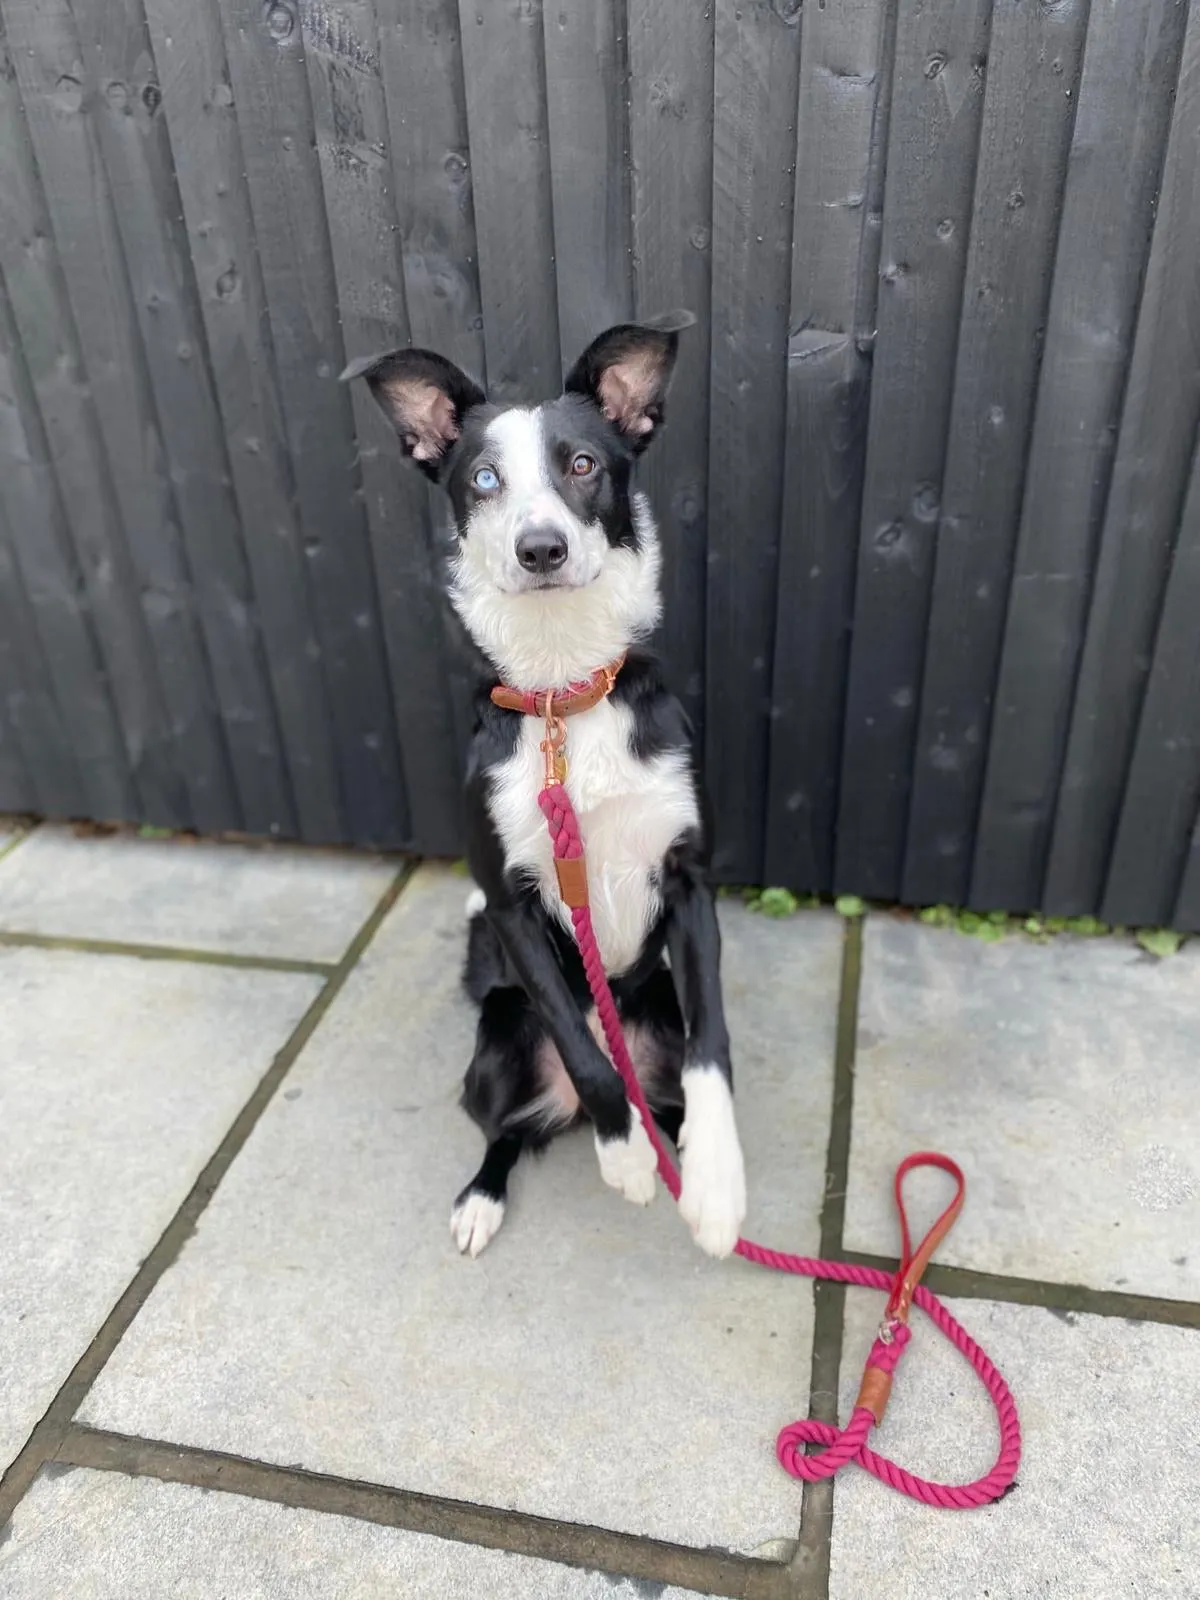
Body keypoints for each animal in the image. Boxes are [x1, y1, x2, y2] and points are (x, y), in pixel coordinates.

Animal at [342, 312, 748, 1260]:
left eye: (584, 464)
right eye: (483, 479)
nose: (541, 548)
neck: (566, 692)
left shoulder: (689, 881)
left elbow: (713, 1049)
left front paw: (716, 1186)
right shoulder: (513, 904)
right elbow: (581, 1043)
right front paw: (625, 1155)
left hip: (654, 1010)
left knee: (667, 1094)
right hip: (497, 1044)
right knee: (507, 1128)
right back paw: (490, 1192)